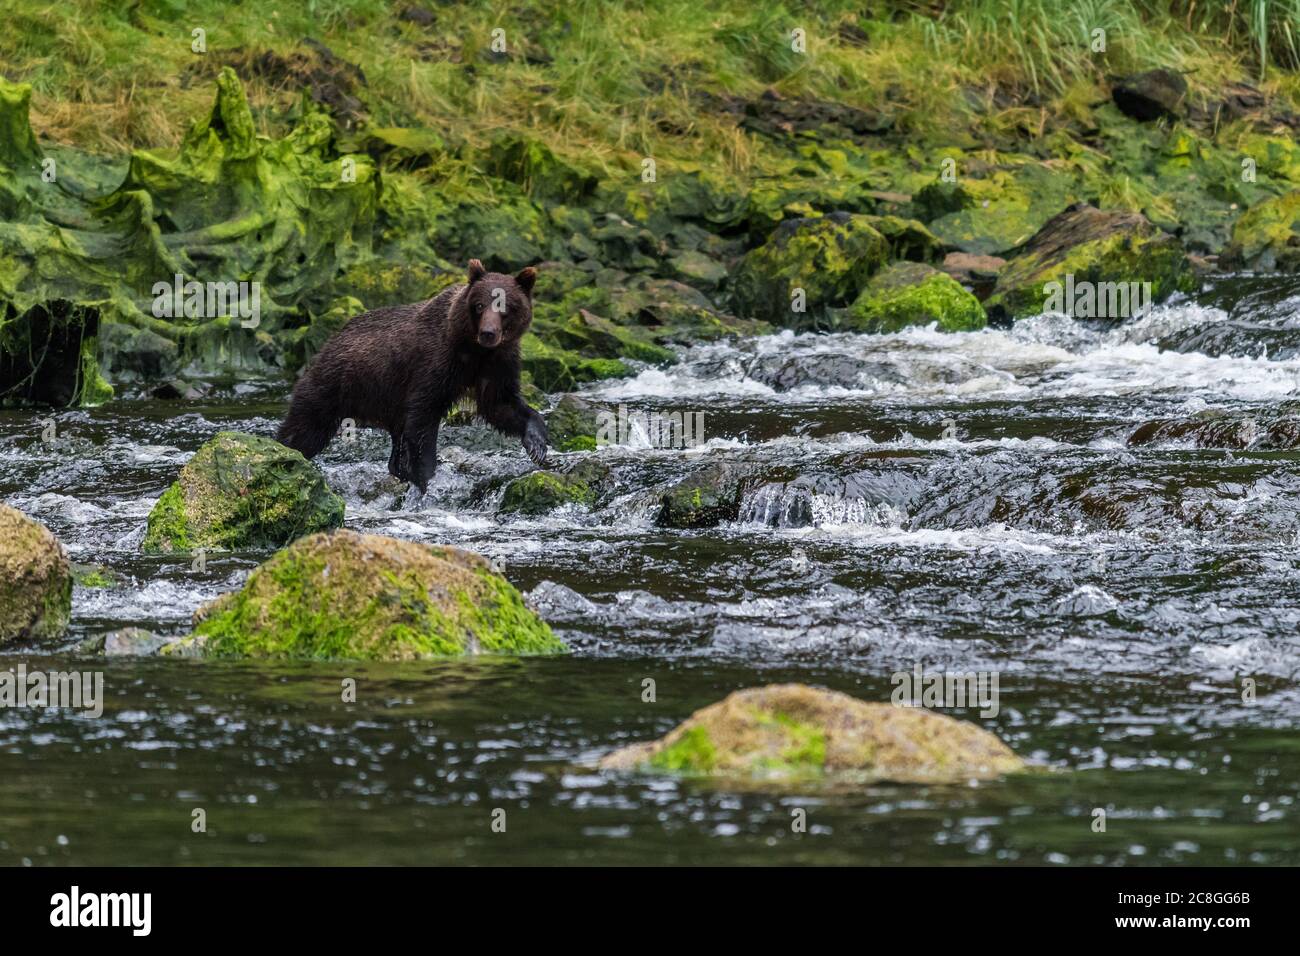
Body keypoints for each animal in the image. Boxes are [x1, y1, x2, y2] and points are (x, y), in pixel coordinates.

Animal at [279, 261, 548, 494]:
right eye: (480, 305)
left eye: (506, 307)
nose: (488, 333)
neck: (474, 351)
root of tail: (328, 342)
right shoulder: (435, 363)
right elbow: (423, 419)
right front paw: (426, 477)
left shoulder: (498, 363)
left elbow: (500, 404)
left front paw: (537, 443)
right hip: (335, 384)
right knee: (305, 428)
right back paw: (285, 449)